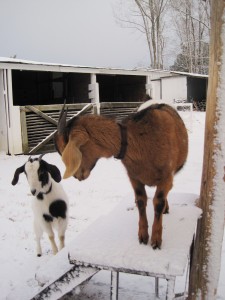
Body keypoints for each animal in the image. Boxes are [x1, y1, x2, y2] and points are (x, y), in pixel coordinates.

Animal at [54, 103, 188, 248]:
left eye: (64, 149)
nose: (76, 176)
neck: (140, 140)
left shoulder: (166, 176)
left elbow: (158, 202)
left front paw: (156, 240)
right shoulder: (134, 176)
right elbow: (141, 201)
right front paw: (142, 235)